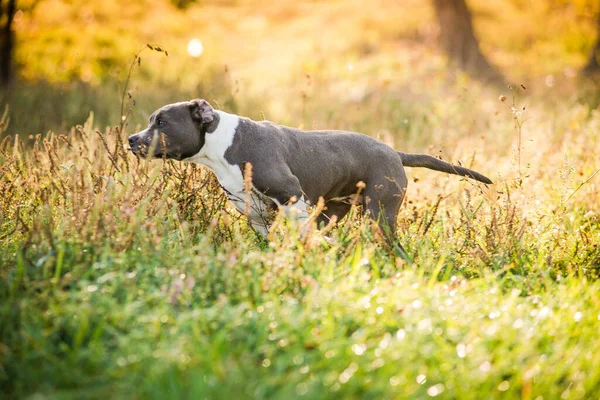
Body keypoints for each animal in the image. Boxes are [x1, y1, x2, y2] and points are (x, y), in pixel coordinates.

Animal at [127, 99, 492, 242]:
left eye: (162, 123)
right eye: (150, 121)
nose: (131, 139)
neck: (221, 144)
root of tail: (394, 152)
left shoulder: (291, 193)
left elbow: (302, 228)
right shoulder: (256, 215)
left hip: (380, 214)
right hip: (338, 208)